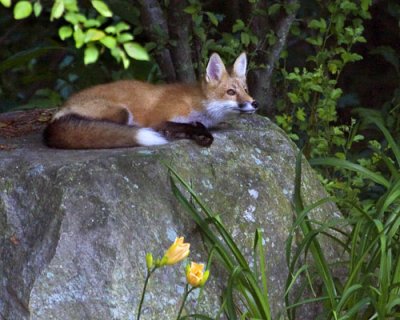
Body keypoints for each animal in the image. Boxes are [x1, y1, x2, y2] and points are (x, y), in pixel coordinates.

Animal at [43, 52, 256, 149]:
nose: (255, 103)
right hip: (121, 113)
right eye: (231, 92)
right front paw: (195, 133)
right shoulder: (158, 119)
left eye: (246, 90)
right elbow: (184, 125)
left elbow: (194, 125)